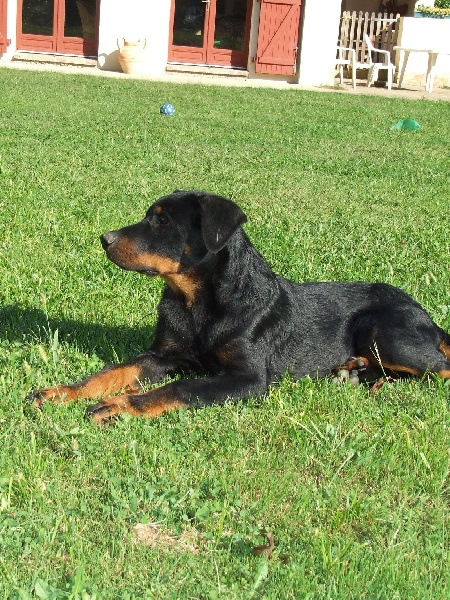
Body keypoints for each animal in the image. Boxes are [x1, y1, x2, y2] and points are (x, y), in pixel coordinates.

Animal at [29, 190, 450, 423]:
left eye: (162, 223)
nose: (105, 239)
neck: (197, 302)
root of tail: (425, 315)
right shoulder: (163, 355)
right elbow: (112, 372)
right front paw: (61, 392)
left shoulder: (248, 379)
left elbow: (181, 388)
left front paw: (120, 405)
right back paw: (356, 372)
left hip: (382, 332)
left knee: (440, 366)